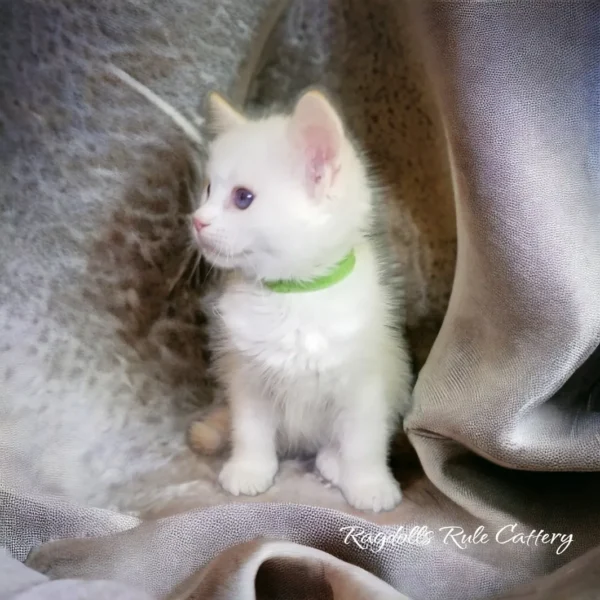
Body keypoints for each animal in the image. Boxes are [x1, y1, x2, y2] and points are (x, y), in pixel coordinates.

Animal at [192, 89, 412, 510]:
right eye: (208, 190)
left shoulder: (366, 382)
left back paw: (332, 462)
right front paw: (250, 468)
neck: (292, 295)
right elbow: (250, 429)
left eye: (242, 198)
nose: (197, 220)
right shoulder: (246, 377)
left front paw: (369, 484)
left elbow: (364, 439)